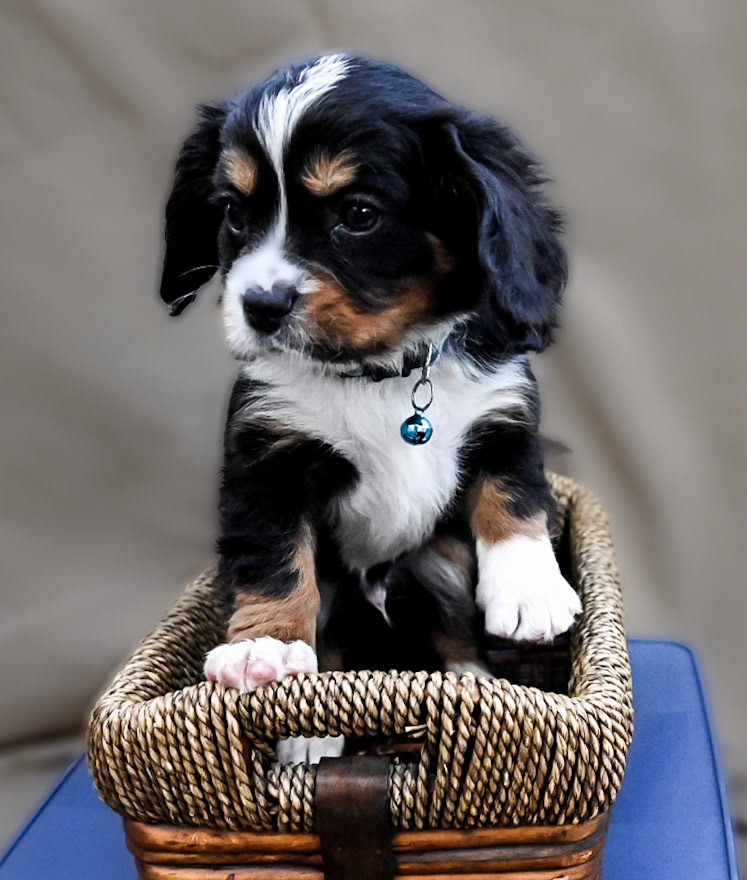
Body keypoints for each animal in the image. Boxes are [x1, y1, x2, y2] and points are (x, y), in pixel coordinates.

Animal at [158, 54, 581, 763]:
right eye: (234, 214)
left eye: (358, 214)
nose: (260, 306)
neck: (379, 371)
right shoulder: (267, 459)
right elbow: (274, 560)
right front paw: (264, 648)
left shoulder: (505, 416)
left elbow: (514, 495)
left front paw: (530, 589)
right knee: (332, 641)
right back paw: (309, 737)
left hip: (439, 559)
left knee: (451, 627)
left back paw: (475, 686)